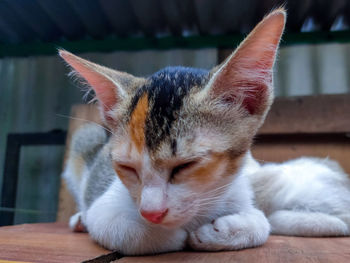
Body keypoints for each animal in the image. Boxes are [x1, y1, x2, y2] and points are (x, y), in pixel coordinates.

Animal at [59, 9, 350, 256]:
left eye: (186, 165)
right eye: (126, 167)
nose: (151, 213)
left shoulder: (241, 190)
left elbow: (261, 223)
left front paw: (221, 231)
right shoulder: (106, 206)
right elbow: (122, 229)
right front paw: (171, 236)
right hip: (86, 137)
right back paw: (80, 219)